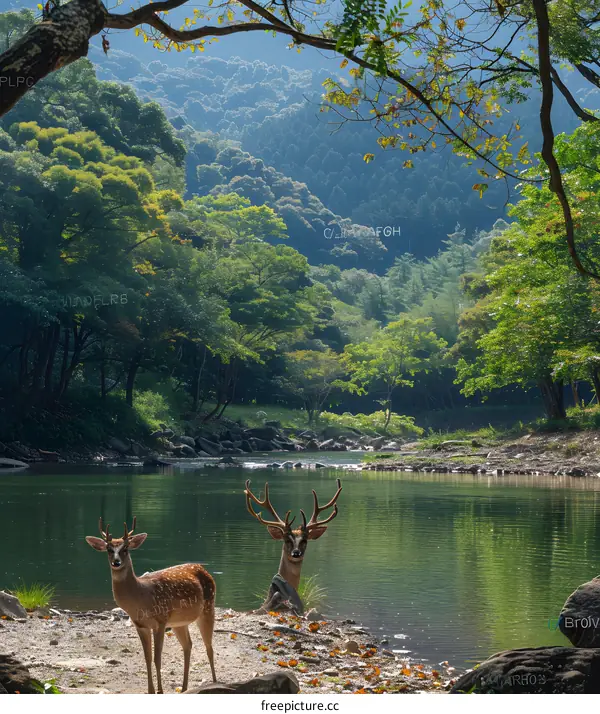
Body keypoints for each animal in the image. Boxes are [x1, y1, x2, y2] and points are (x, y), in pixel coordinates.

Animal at [85, 517, 216, 694]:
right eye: (108, 549)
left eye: (126, 548)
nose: (116, 562)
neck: (140, 597)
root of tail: (203, 569)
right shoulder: (140, 624)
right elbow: (147, 657)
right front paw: (150, 690)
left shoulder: (160, 620)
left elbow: (157, 658)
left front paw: (160, 691)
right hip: (179, 622)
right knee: (188, 645)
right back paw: (184, 688)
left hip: (208, 607)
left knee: (209, 647)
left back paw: (214, 682)